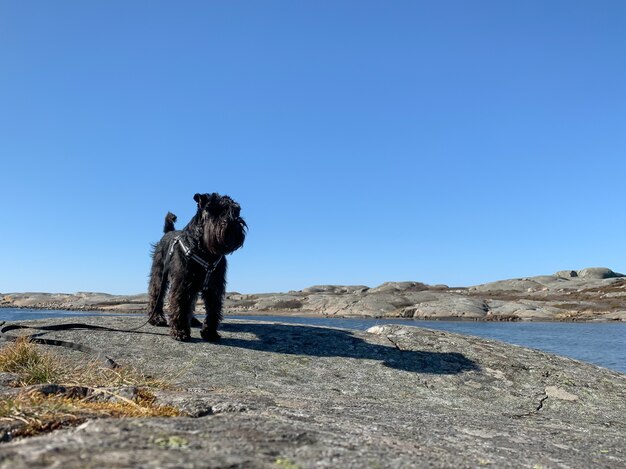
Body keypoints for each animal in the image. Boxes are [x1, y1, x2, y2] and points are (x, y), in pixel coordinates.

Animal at [147, 192, 245, 342]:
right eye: (214, 209)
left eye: (236, 210)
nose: (233, 223)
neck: (206, 251)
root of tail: (168, 232)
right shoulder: (182, 283)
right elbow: (180, 304)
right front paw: (180, 331)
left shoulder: (214, 287)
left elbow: (213, 310)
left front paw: (210, 333)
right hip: (159, 275)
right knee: (156, 295)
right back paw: (156, 319)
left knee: (191, 302)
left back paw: (192, 320)